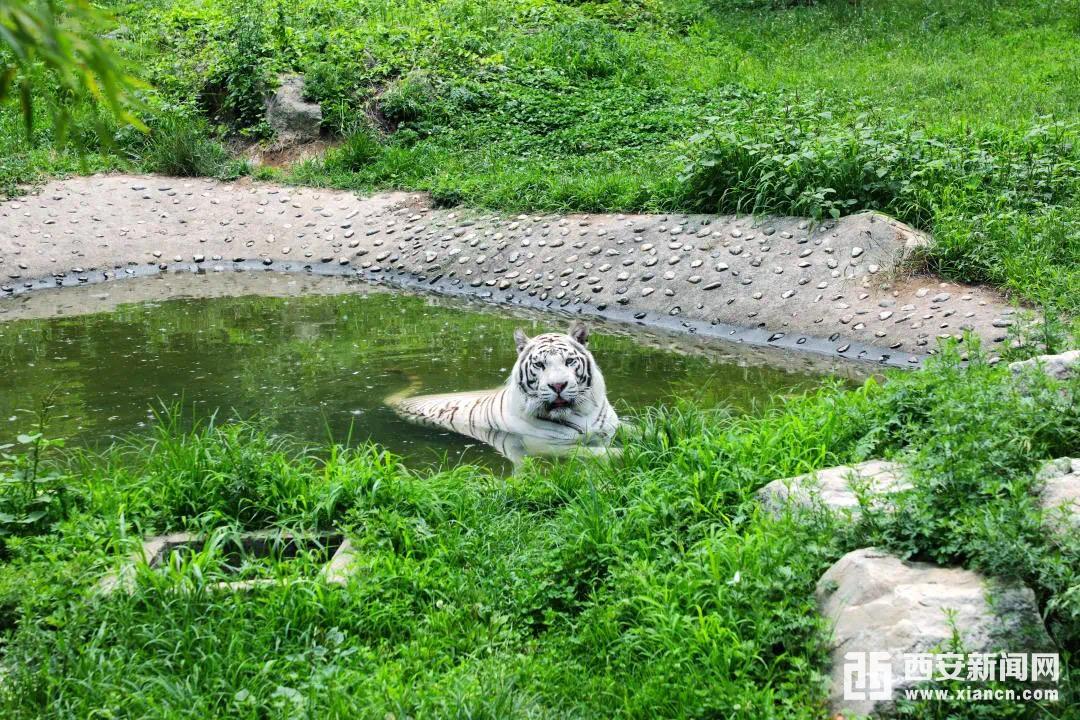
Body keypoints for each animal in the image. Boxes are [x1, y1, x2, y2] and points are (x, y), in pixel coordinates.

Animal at [390, 323, 626, 464]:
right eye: (539, 365)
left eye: (569, 361)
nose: (558, 385)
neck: (581, 412)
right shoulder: (545, 445)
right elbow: (598, 451)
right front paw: (627, 452)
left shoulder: (611, 426)